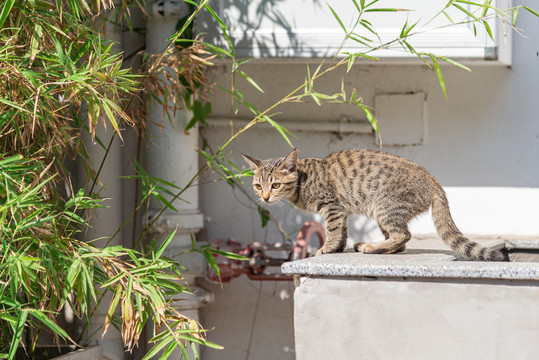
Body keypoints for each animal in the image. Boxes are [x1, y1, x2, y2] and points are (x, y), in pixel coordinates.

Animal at [245, 148, 506, 262]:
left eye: (276, 185)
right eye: (258, 186)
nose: (265, 197)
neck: (302, 181)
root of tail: (434, 181)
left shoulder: (332, 206)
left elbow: (332, 230)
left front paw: (327, 248)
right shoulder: (341, 210)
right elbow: (342, 231)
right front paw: (338, 248)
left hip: (385, 207)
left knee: (403, 235)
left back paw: (371, 247)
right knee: (400, 242)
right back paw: (375, 247)